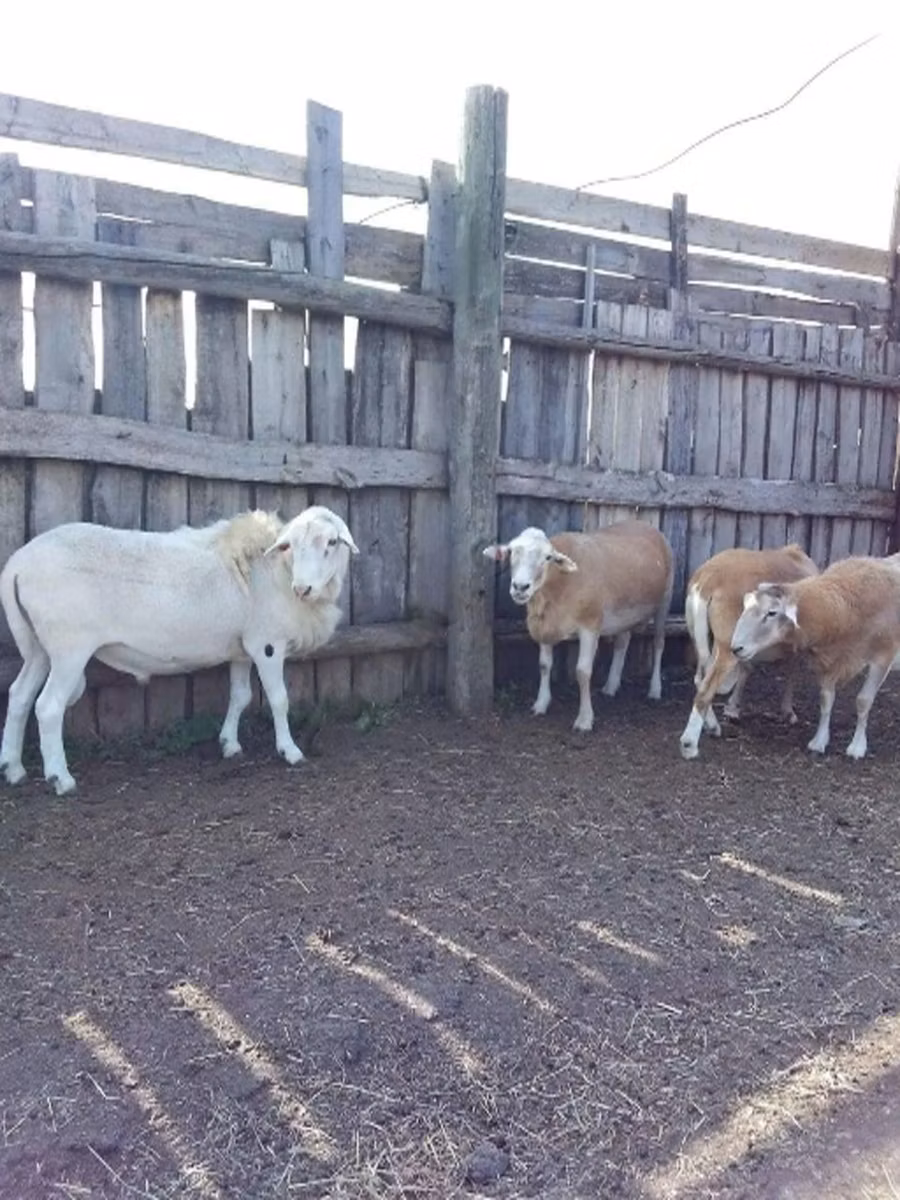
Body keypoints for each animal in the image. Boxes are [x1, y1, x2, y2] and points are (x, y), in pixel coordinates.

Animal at [0, 505, 359, 795]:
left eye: (331, 543)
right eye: (291, 545)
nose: (303, 588)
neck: (275, 572)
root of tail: (17, 565)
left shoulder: (243, 648)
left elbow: (240, 696)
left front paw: (229, 744)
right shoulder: (267, 644)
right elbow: (279, 699)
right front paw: (290, 751)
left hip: (37, 647)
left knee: (19, 695)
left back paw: (13, 769)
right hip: (69, 647)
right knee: (48, 706)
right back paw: (61, 779)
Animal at [484, 520, 674, 731]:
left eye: (548, 557)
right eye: (511, 551)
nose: (520, 587)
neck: (555, 587)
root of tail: (645, 524)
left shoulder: (590, 625)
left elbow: (582, 672)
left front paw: (584, 719)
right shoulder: (545, 625)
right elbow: (544, 665)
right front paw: (541, 704)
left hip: (665, 598)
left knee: (659, 643)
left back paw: (655, 690)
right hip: (626, 612)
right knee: (622, 642)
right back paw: (611, 686)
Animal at [679, 543, 818, 759]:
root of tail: (708, 578)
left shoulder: (745, 647)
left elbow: (747, 669)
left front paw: (732, 708)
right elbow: (791, 672)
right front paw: (788, 712)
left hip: (701, 636)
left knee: (700, 679)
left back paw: (712, 726)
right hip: (726, 644)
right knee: (706, 688)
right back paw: (689, 744)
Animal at [730, 553, 900, 760]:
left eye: (771, 613)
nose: (736, 647)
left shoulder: (883, 656)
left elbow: (863, 701)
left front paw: (857, 747)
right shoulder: (830, 660)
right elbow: (826, 700)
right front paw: (819, 741)